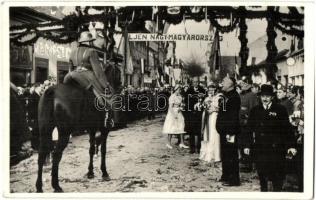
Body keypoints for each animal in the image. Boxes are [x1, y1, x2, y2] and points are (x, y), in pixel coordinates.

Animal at [35, 63, 121, 191]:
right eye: (118, 72)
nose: (120, 86)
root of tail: (51, 91)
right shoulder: (104, 129)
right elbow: (103, 150)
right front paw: (104, 172)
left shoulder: (92, 129)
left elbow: (91, 149)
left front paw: (90, 172)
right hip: (64, 133)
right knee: (56, 155)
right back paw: (56, 185)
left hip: (45, 130)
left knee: (41, 155)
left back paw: (39, 187)